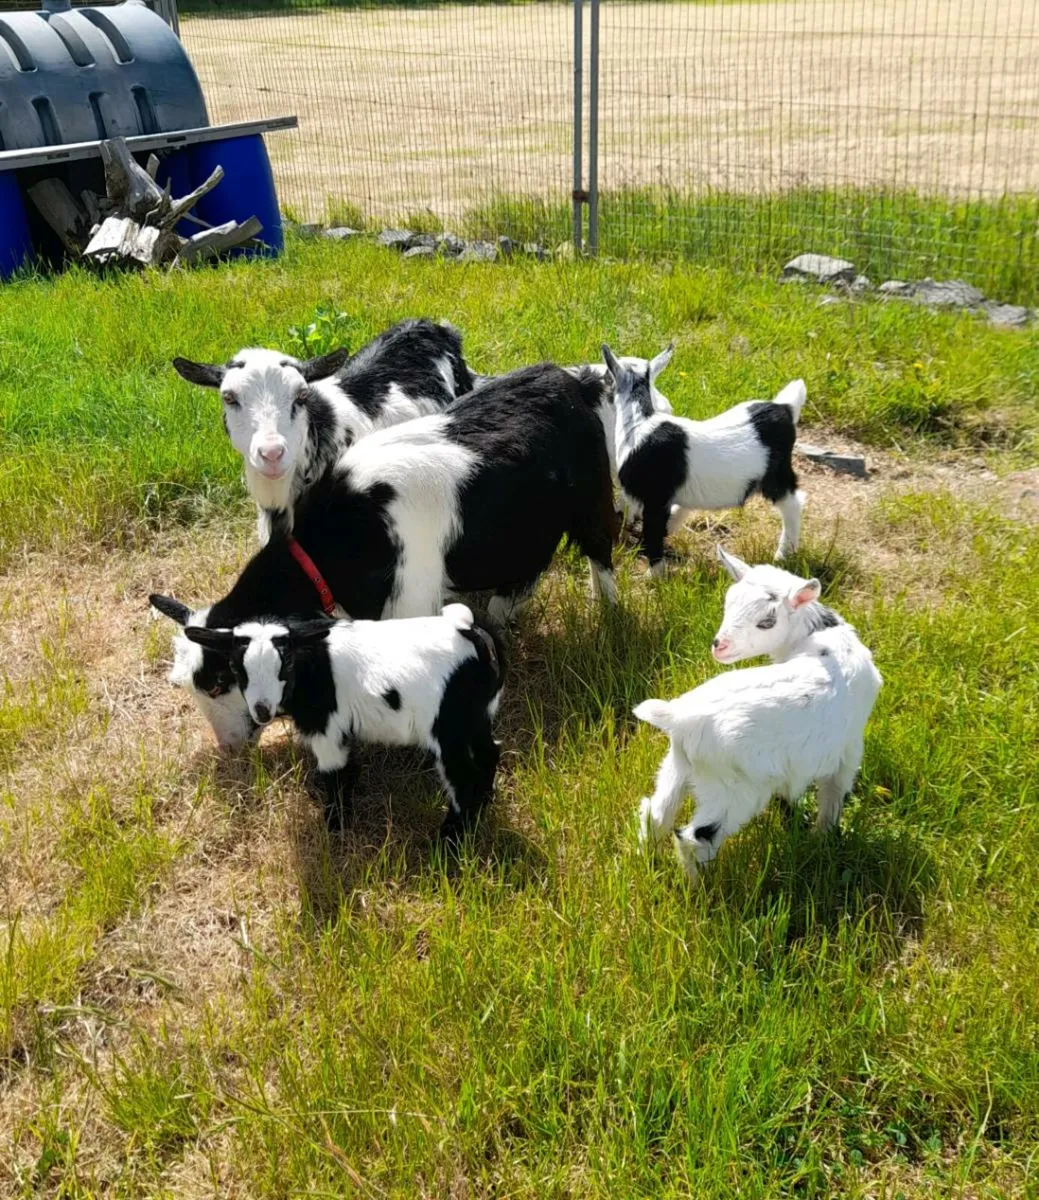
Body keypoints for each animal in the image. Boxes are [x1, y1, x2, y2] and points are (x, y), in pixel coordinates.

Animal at [151, 362, 618, 746]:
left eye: (219, 681)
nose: (229, 747)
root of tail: (572, 381)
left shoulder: (409, 598)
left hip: (593, 500)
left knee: (601, 555)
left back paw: (607, 618)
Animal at [183, 604, 504, 839]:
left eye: (285, 664)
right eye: (236, 667)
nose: (262, 710)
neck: (312, 666)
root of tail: (473, 633)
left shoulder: (326, 727)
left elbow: (335, 772)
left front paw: (334, 825)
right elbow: (347, 768)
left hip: (449, 726)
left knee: (463, 777)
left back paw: (451, 838)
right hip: (476, 716)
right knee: (490, 751)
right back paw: (485, 800)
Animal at [601, 344, 806, 574]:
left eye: (608, 377)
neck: (638, 423)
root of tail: (785, 408)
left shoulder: (655, 499)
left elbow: (653, 535)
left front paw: (654, 576)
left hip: (774, 475)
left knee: (793, 503)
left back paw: (783, 554)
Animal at [635, 546, 882, 878]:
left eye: (767, 621)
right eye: (727, 604)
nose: (719, 646)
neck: (825, 638)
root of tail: (679, 719)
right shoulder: (849, 748)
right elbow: (833, 796)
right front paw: (822, 839)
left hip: (678, 766)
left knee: (655, 814)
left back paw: (646, 861)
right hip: (733, 789)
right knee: (695, 838)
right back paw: (698, 885)